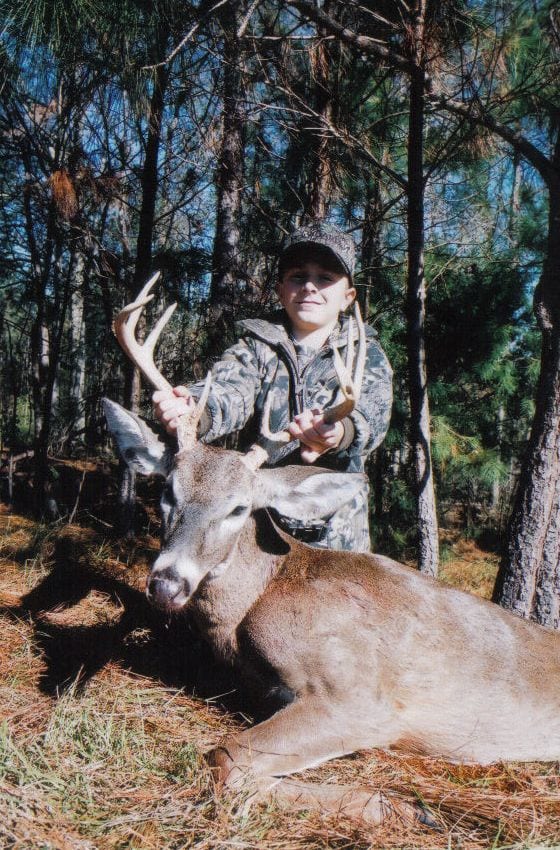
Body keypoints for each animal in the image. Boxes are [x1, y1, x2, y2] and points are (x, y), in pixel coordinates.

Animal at [103, 275, 560, 826]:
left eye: (239, 508)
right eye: (167, 491)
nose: (167, 583)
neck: (253, 604)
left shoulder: (362, 697)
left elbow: (225, 759)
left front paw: (400, 807)